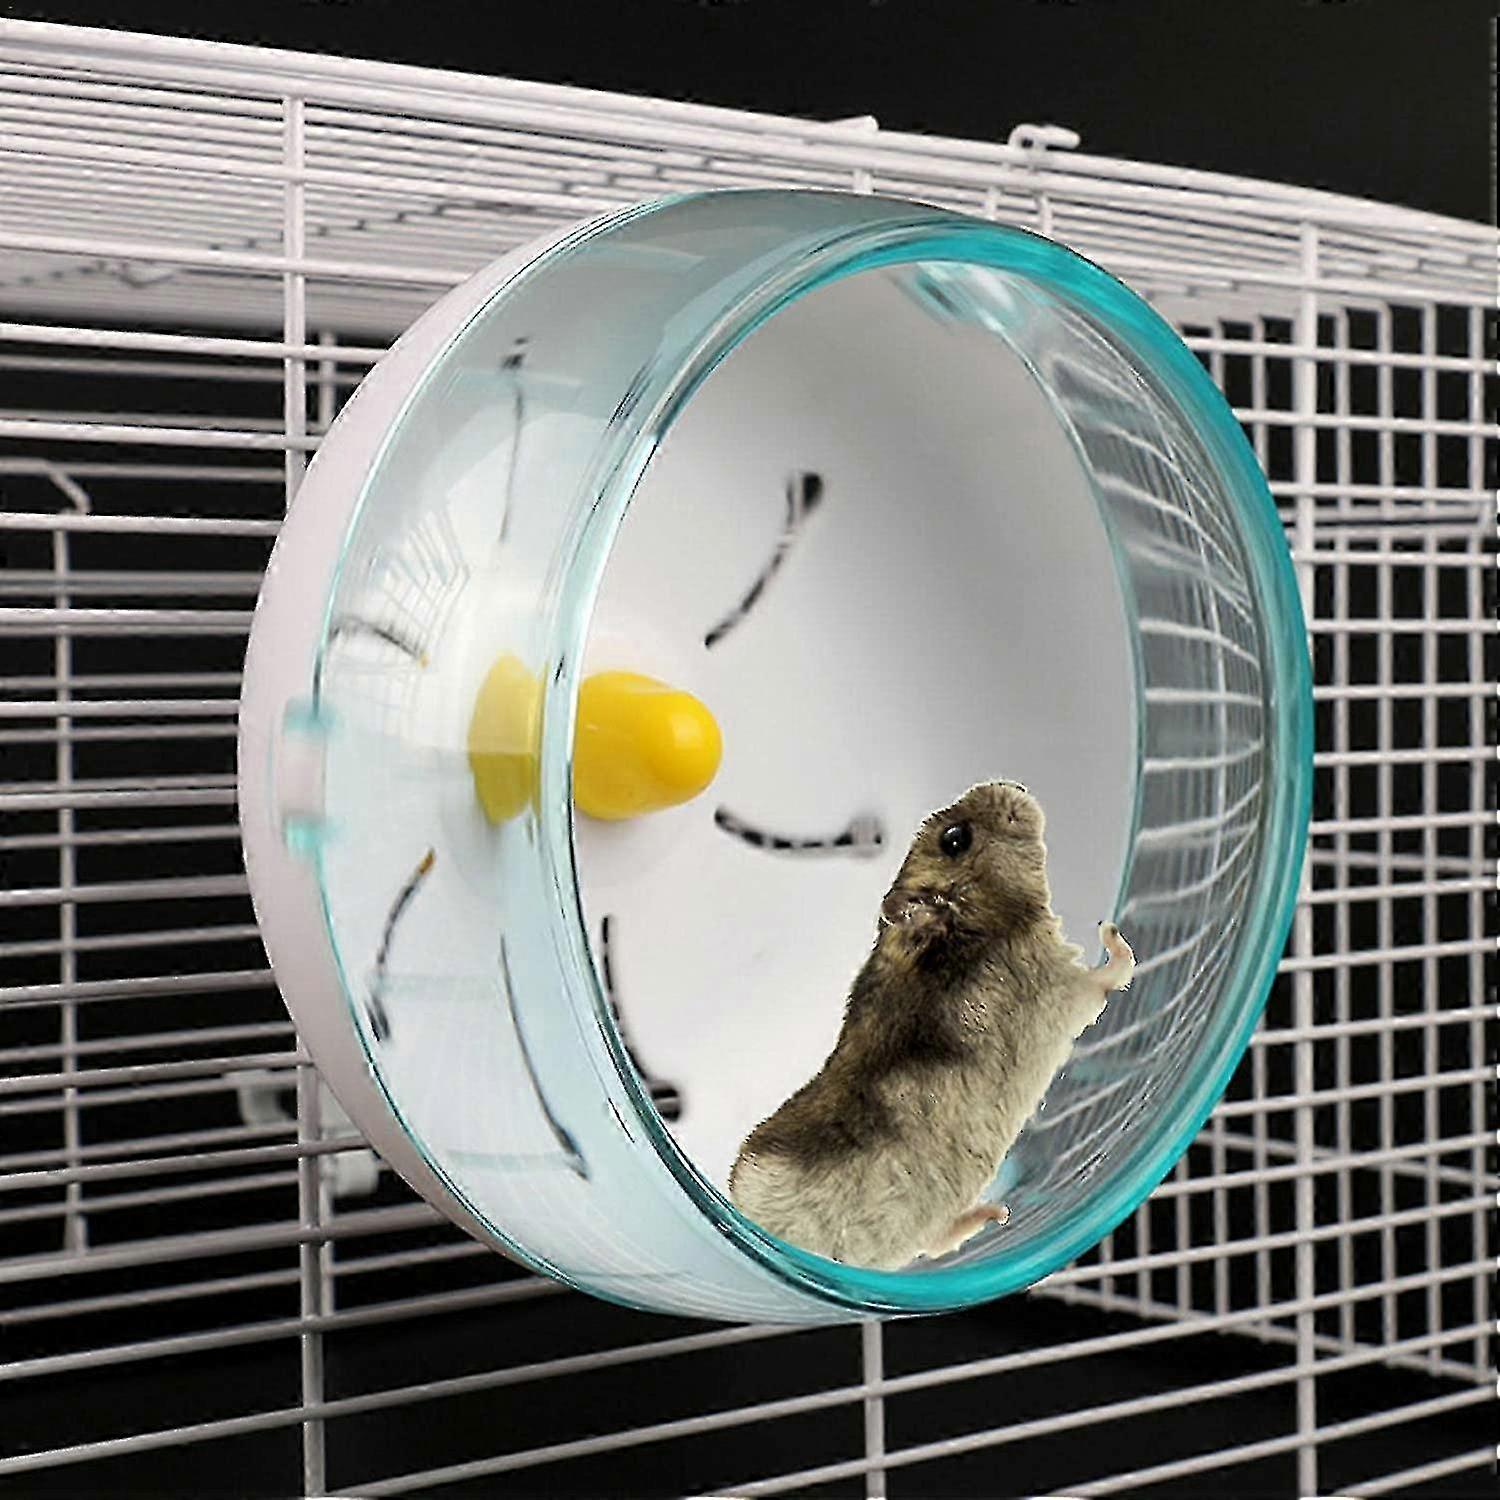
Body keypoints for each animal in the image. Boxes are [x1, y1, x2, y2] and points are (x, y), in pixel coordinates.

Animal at [728, 780, 1134, 1271]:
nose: (1015, 787)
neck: (977, 924)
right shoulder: (1067, 985)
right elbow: (1113, 971)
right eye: (955, 839)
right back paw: (996, 1213)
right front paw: (1111, 930)